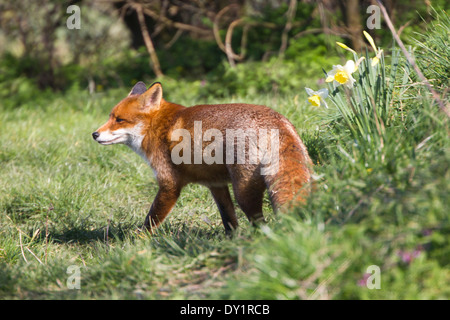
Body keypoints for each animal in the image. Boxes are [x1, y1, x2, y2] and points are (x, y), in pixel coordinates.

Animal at [93, 82, 312, 232]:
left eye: (119, 120)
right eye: (110, 116)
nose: (94, 134)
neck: (158, 126)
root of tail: (276, 119)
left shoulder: (169, 184)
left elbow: (150, 221)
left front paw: (138, 243)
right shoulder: (216, 185)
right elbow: (228, 219)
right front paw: (231, 241)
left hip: (244, 192)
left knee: (260, 223)